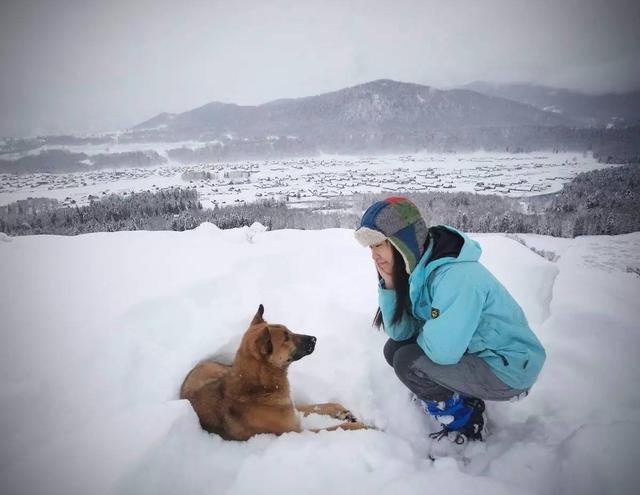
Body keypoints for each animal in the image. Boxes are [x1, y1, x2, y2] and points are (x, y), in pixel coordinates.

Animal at [180, 306, 370, 442]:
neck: (260, 388)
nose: (314, 338)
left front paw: (342, 412)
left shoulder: (292, 409)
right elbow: (335, 428)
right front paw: (362, 426)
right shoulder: (295, 432)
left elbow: (322, 405)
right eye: (286, 338)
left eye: (289, 331)